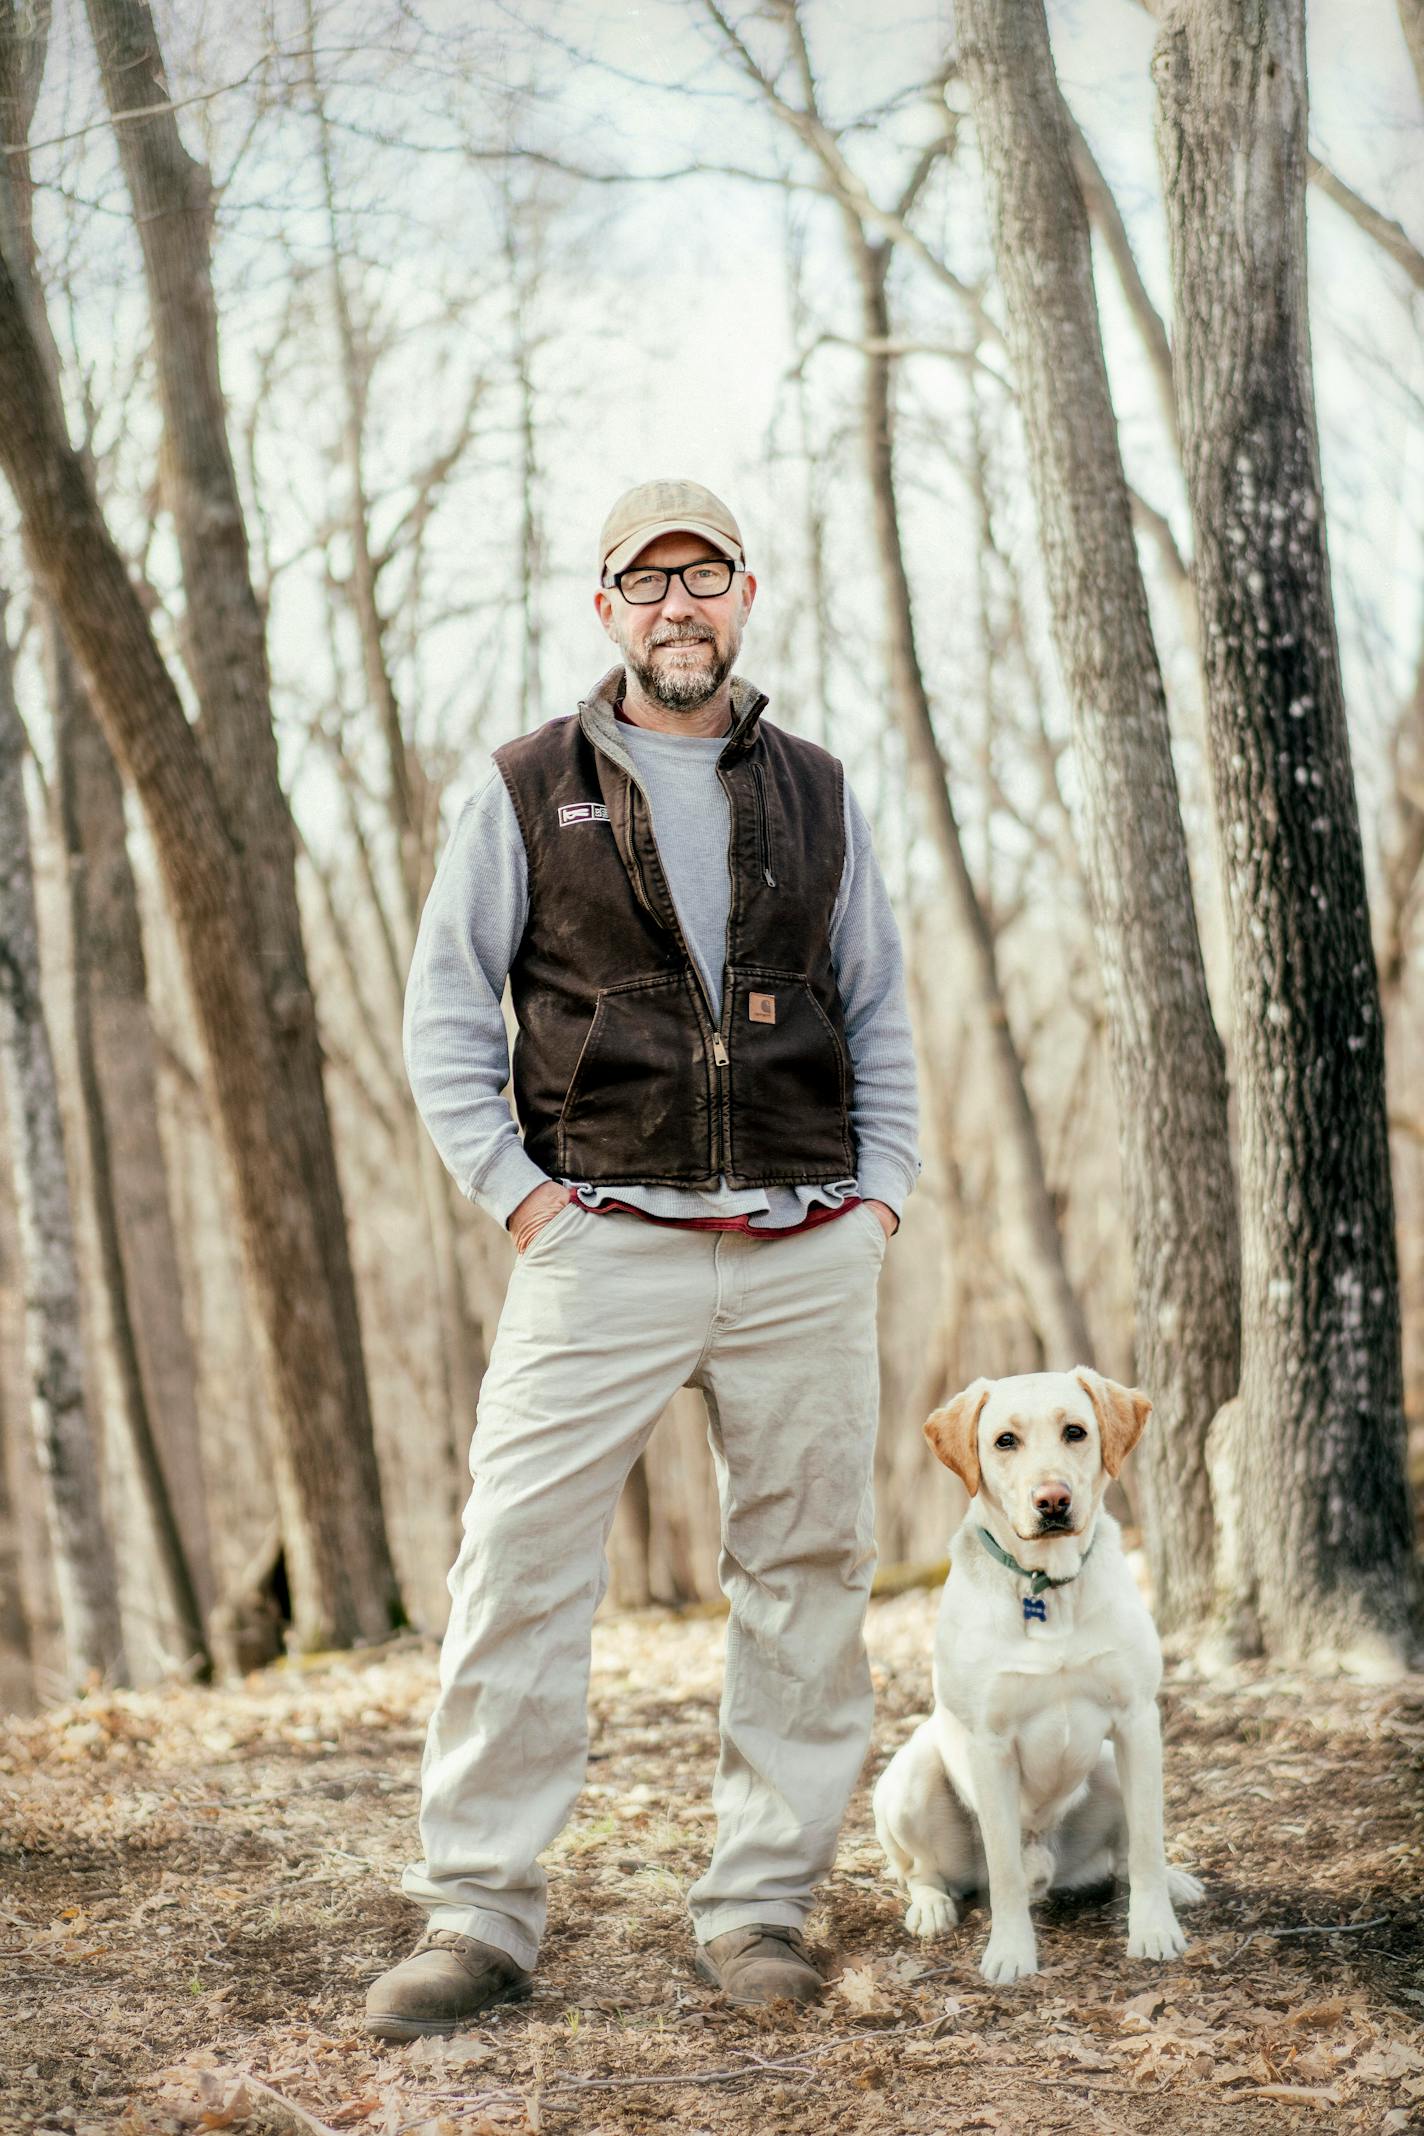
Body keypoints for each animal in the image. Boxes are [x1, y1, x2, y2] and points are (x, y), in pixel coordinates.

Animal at [875, 1367, 1195, 1982]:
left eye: (1075, 1431)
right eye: (1005, 1441)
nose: (1053, 1500)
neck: (1048, 1586)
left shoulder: (1137, 1720)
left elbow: (1148, 1841)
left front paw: (1153, 1929)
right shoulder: (989, 1743)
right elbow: (1002, 1870)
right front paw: (1010, 1952)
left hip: (1108, 1763)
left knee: (1125, 1855)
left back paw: (1174, 1883)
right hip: (909, 1776)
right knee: (923, 1871)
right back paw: (931, 1907)